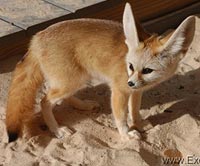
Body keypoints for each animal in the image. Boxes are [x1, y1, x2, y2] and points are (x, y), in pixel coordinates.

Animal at [5, 3, 195, 142]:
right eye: (131, 66)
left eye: (147, 70)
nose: (130, 82)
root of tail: (36, 38)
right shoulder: (119, 91)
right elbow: (121, 117)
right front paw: (126, 134)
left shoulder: (136, 91)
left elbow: (134, 110)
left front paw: (138, 124)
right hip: (72, 81)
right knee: (44, 101)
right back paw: (57, 130)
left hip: (76, 80)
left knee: (60, 97)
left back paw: (83, 105)